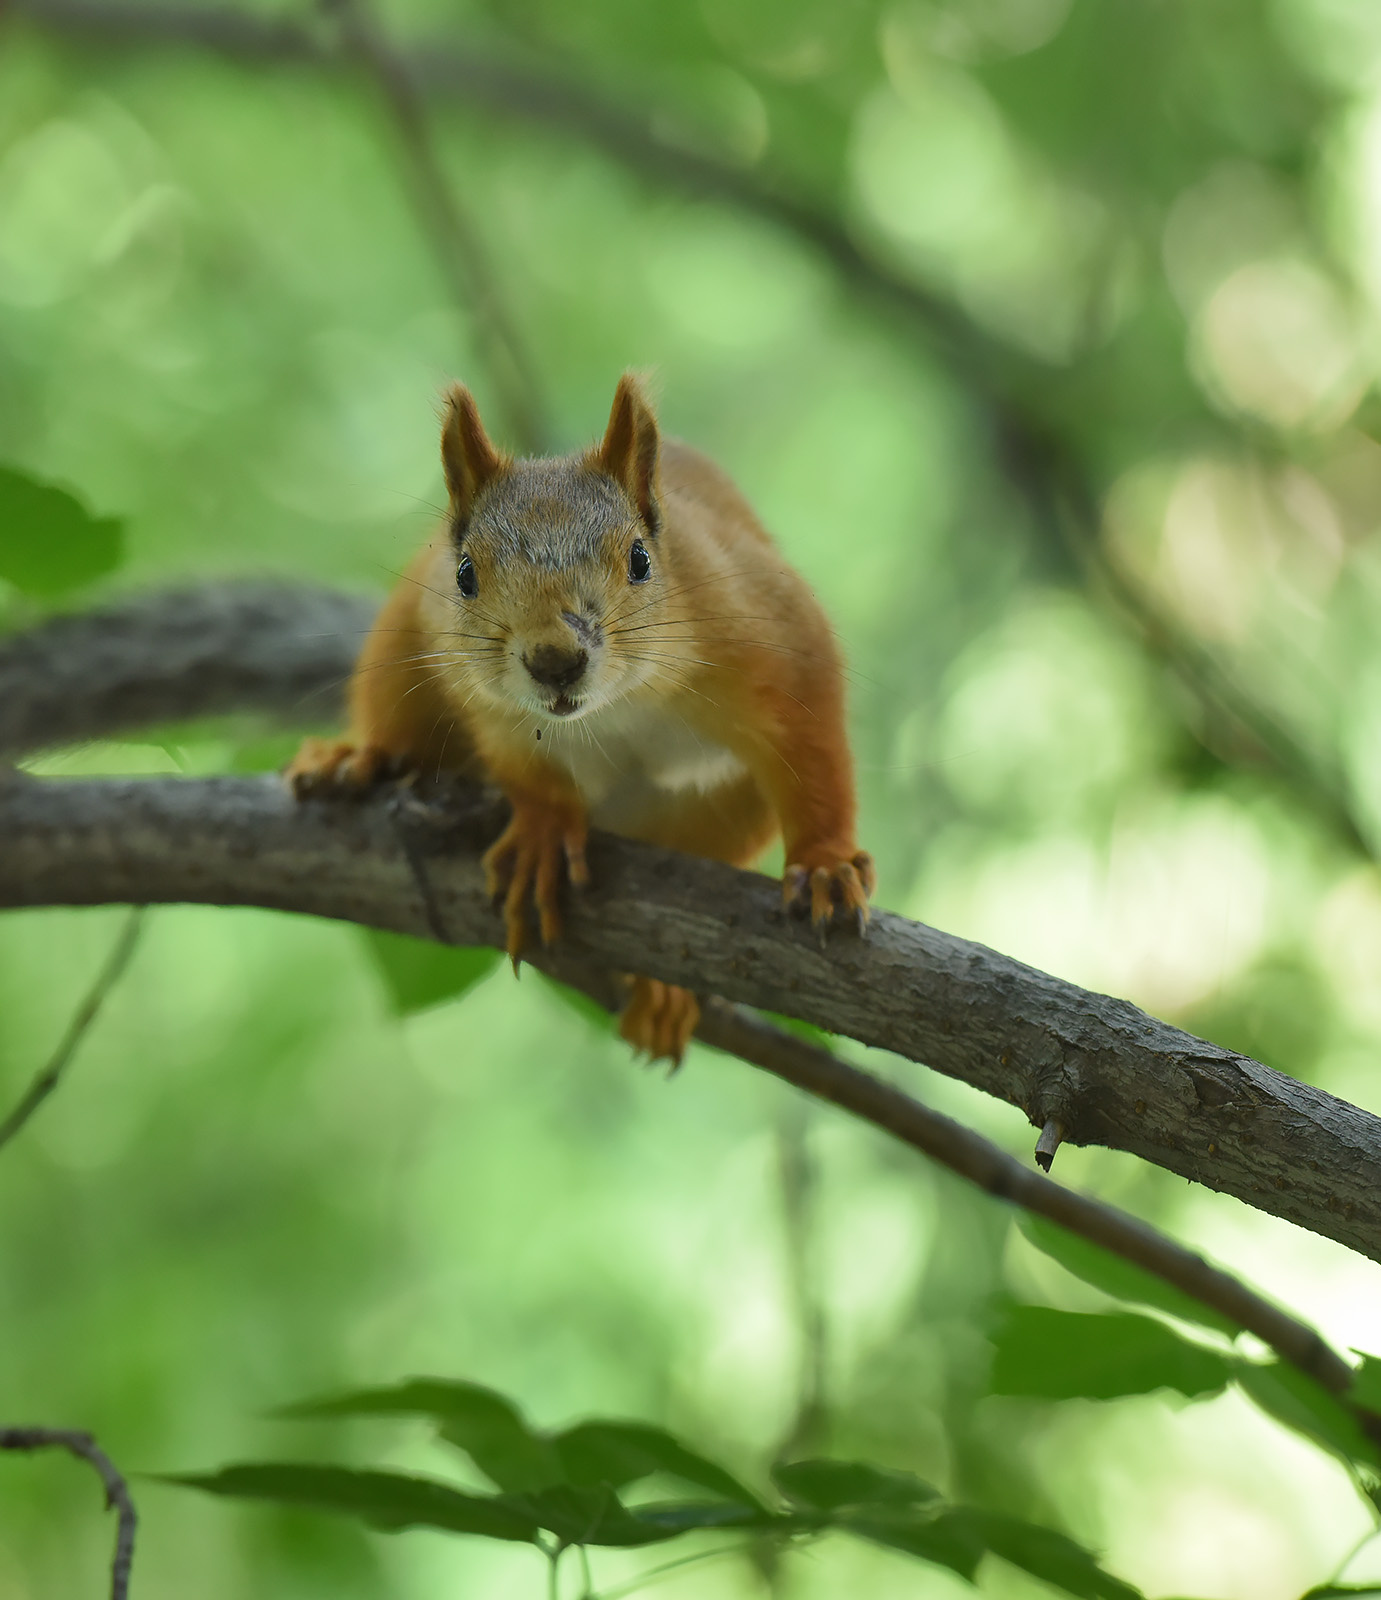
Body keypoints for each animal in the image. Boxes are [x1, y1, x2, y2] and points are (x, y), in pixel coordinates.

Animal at [287, 374, 874, 1062]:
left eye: (641, 560)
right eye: (465, 574)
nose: (553, 661)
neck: (616, 706)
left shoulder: (771, 627)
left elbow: (815, 751)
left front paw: (827, 863)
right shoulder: (487, 701)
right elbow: (527, 773)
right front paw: (542, 836)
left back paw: (662, 986)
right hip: (402, 633)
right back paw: (356, 757)